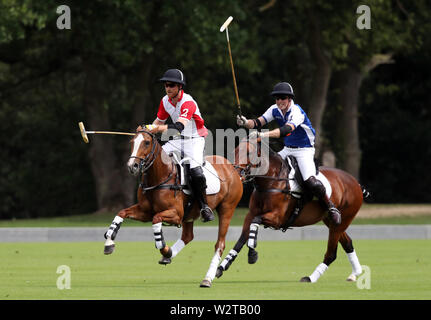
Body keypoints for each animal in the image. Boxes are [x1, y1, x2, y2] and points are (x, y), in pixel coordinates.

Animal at [102, 127, 243, 288]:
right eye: (132, 141)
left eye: (146, 142)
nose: (133, 166)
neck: (160, 177)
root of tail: (232, 168)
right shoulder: (145, 211)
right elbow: (121, 213)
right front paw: (109, 243)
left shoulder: (176, 214)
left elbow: (156, 219)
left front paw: (163, 247)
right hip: (190, 214)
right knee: (188, 236)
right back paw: (170, 255)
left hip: (227, 208)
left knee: (220, 244)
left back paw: (207, 278)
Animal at [218, 139, 366, 284]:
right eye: (235, 151)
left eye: (249, 152)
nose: (235, 173)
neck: (270, 181)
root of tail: (356, 182)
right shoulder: (250, 214)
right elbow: (242, 238)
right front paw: (221, 267)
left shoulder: (277, 219)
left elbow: (255, 223)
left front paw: (252, 254)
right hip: (331, 221)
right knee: (347, 243)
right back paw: (355, 274)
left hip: (342, 220)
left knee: (331, 254)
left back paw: (311, 278)